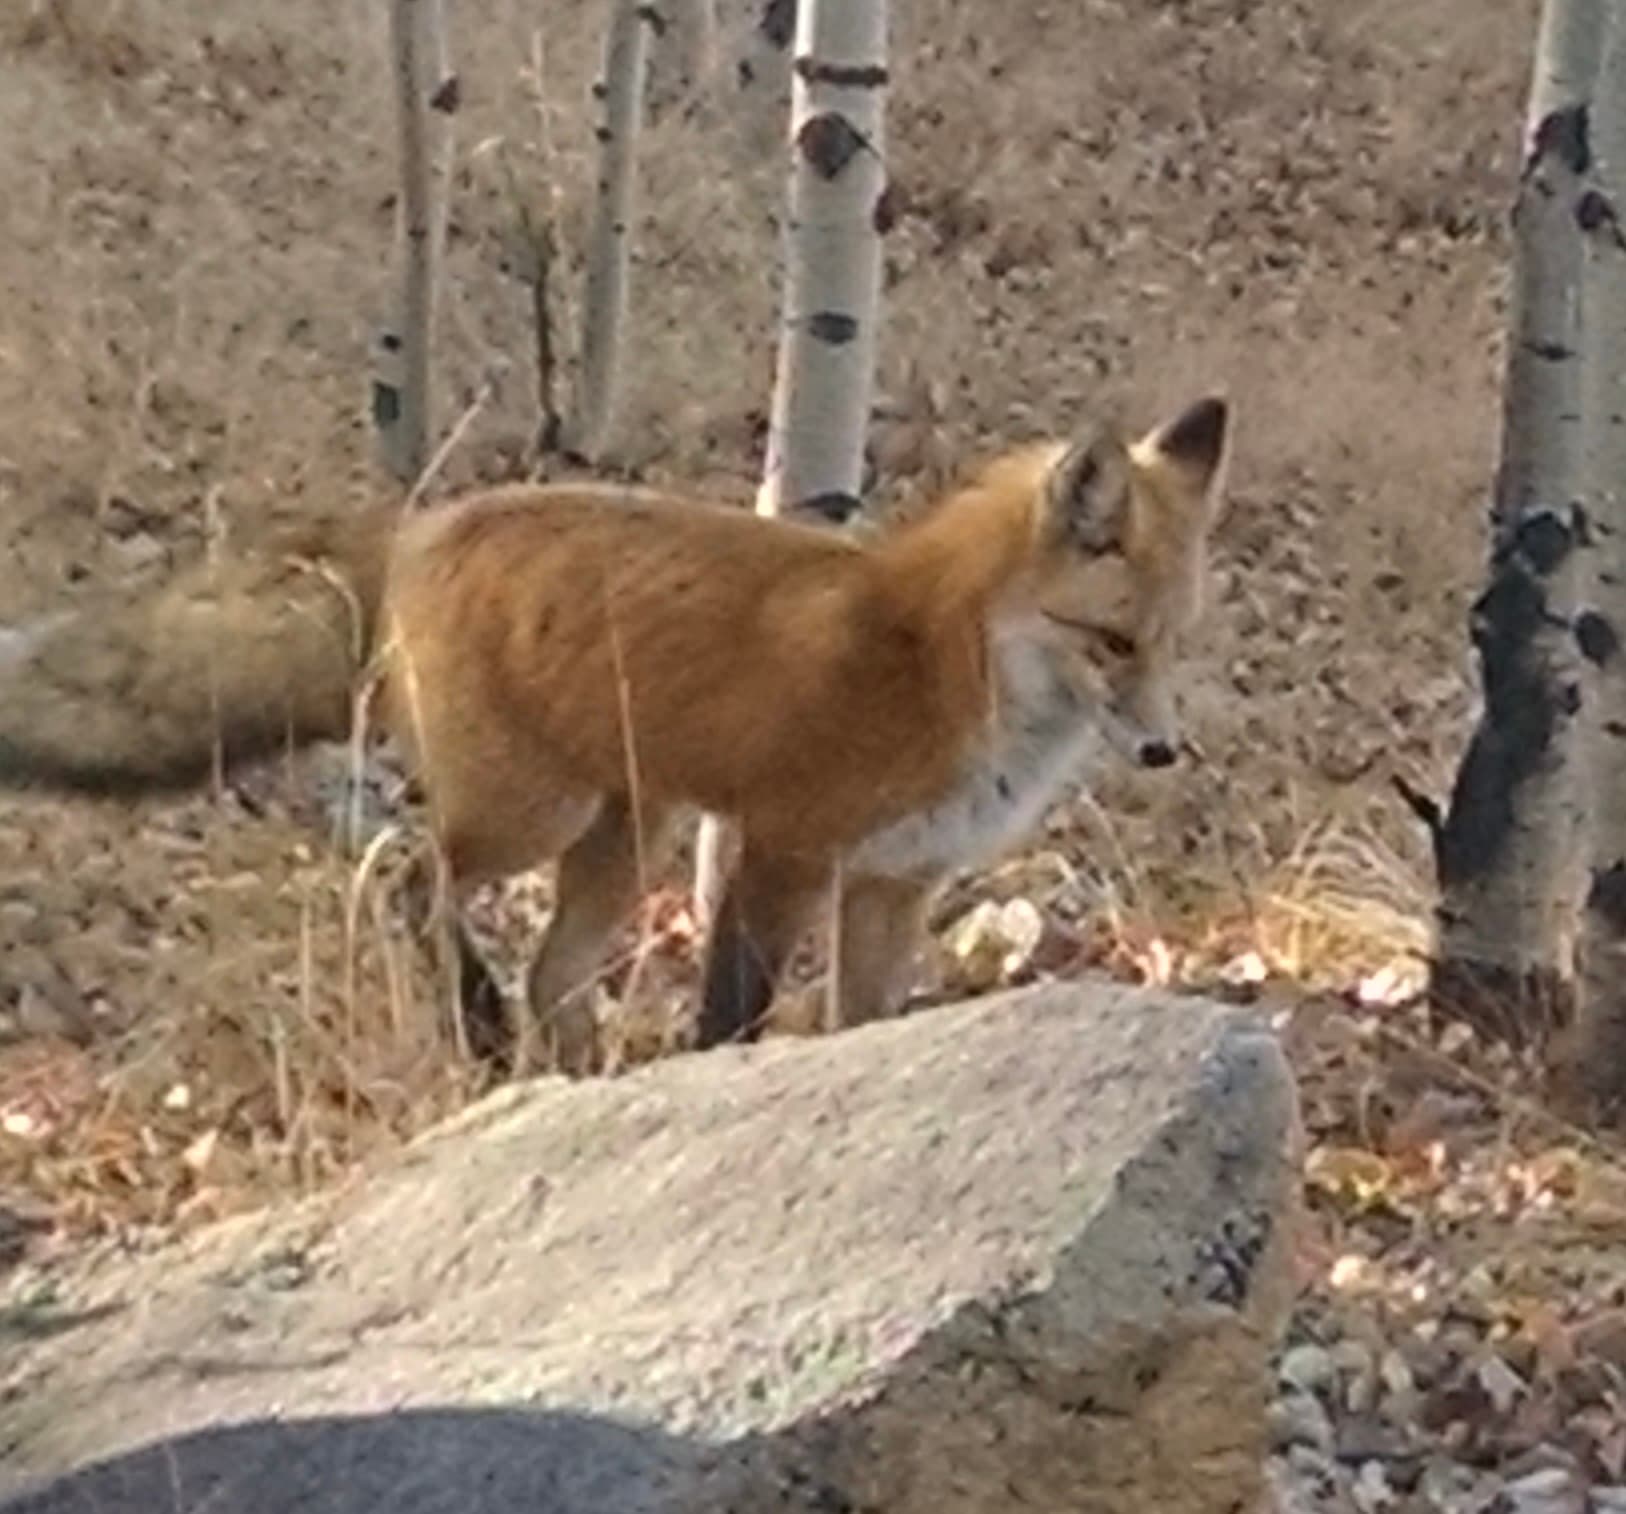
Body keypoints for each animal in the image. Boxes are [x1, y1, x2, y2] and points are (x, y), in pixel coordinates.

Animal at [0, 393, 1230, 1072]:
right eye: (1113, 642)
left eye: (1173, 644)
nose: (1164, 750)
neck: (944, 664)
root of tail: (416, 525)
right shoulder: (784, 848)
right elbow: (732, 1013)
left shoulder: (892, 885)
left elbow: (861, 1026)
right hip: (538, 815)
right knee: (402, 876)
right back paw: (480, 1022)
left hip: (627, 834)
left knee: (551, 970)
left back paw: (570, 1071)